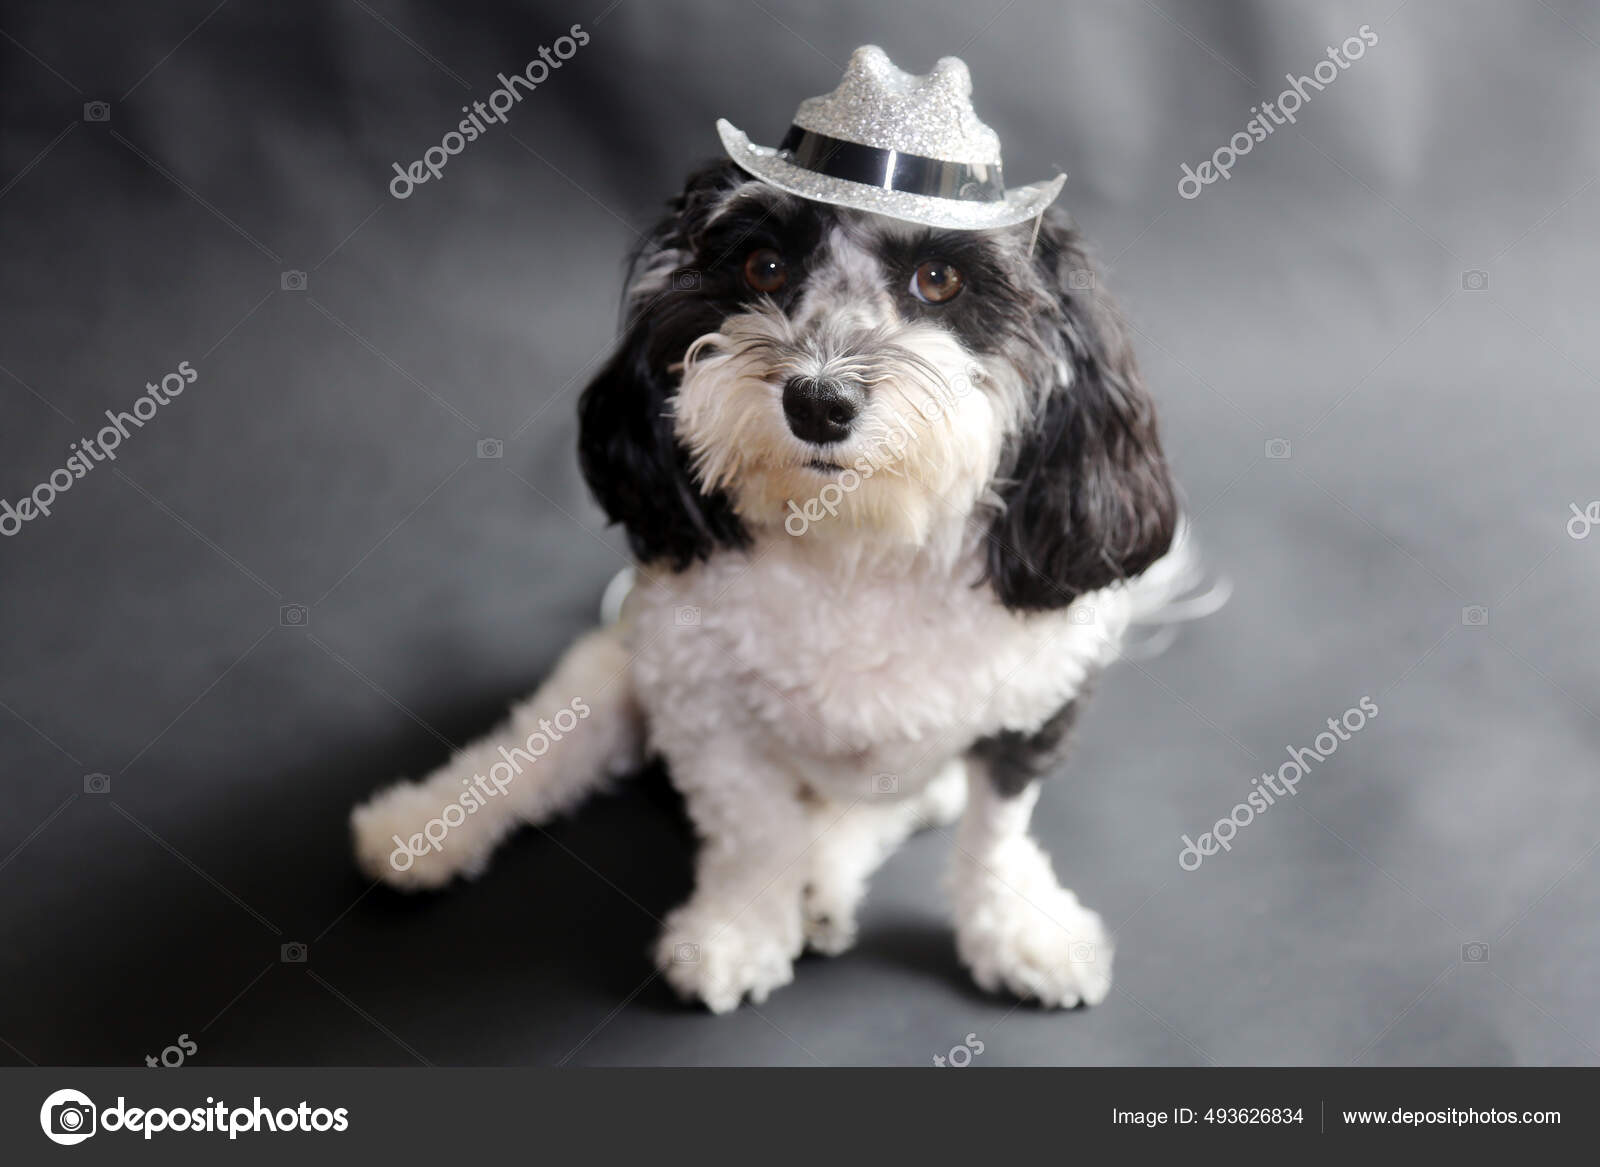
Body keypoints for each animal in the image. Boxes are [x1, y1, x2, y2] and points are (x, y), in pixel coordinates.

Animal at [353, 47, 1203, 1011]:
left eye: (939, 280)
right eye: (761, 265)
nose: (818, 400)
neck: (858, 550)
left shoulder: (1033, 701)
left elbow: (997, 829)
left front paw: (1017, 929)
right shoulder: (696, 696)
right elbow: (751, 820)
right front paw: (738, 927)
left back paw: (826, 876)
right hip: (608, 671)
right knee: (537, 747)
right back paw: (423, 823)